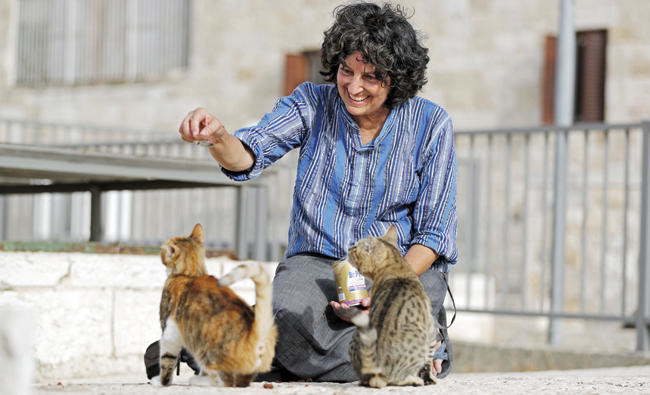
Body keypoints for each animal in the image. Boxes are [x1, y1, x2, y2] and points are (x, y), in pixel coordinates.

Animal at [159, 224, 278, 388]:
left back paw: (198, 381)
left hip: (205, 352)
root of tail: (256, 333)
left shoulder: (169, 330)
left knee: (224, 381)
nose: (160, 251)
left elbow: (167, 359)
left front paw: (161, 382)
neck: (191, 274)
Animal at [336, 226, 438, 390]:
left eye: (356, 247)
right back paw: (414, 380)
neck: (397, 267)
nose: (349, 248)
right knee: (396, 379)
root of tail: (376, 367)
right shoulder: (431, 330)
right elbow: (428, 362)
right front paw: (430, 379)